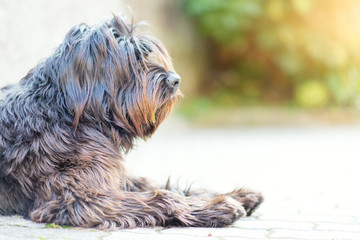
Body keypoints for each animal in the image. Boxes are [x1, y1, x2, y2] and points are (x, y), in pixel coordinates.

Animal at [0, 15, 264, 229]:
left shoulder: (118, 174)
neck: (64, 110)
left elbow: (159, 184)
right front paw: (218, 207)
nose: (175, 80)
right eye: (133, 60)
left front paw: (235, 195)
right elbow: (164, 197)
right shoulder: (79, 197)